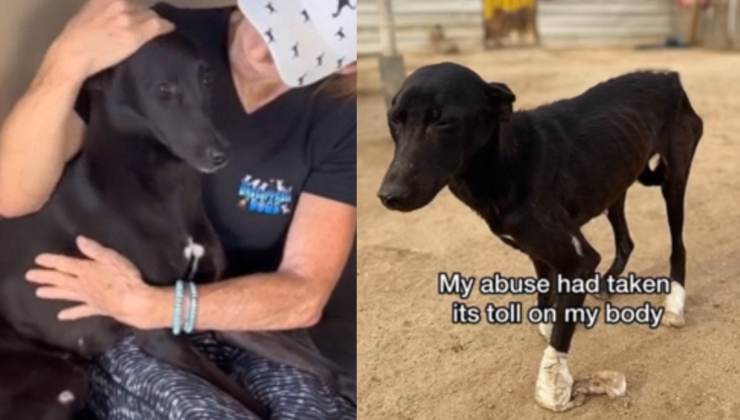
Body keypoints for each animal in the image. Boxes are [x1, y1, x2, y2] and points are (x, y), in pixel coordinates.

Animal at [0, 33, 268, 420]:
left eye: (206, 78)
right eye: (164, 89)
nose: (220, 154)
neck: (163, 186)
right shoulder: (156, 330)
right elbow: (248, 401)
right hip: (60, 379)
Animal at [378, 64, 704, 412]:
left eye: (441, 120)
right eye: (394, 120)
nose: (388, 196)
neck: (505, 161)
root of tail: (667, 75)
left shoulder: (579, 260)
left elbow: (560, 335)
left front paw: (552, 386)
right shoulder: (537, 251)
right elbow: (546, 297)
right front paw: (550, 326)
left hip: (674, 180)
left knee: (678, 246)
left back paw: (674, 302)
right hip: (616, 182)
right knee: (626, 242)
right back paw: (607, 285)